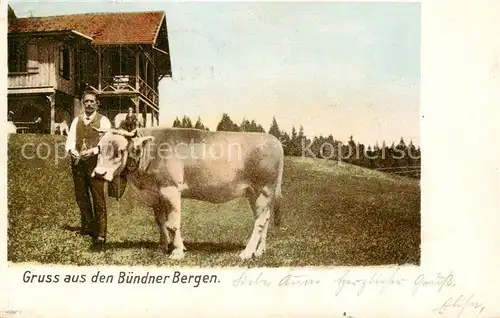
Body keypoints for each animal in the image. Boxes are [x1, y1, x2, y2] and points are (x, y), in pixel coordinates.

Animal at [91, 125, 284, 260]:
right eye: (99, 148)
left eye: (121, 150)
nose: (99, 173)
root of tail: (274, 140)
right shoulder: (156, 194)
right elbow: (160, 222)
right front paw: (164, 246)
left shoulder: (170, 190)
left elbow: (173, 224)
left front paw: (177, 252)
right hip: (254, 194)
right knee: (265, 219)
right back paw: (259, 251)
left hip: (264, 189)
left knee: (260, 221)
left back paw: (247, 252)